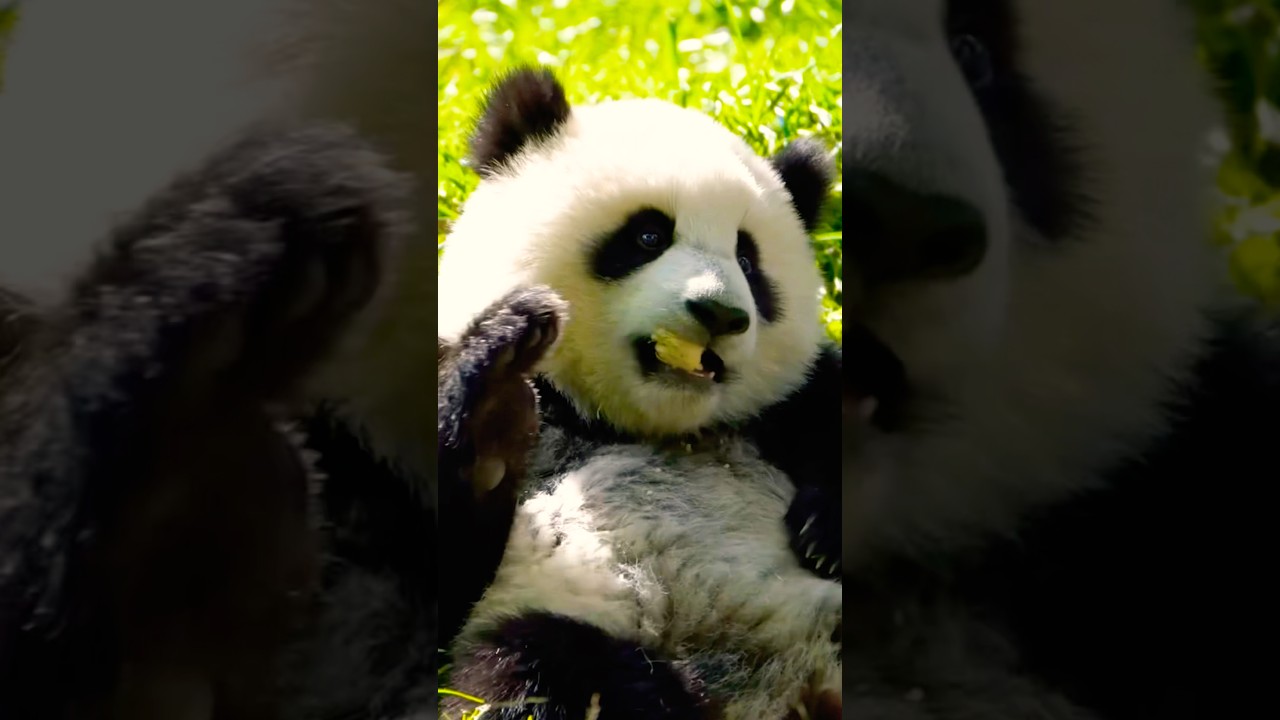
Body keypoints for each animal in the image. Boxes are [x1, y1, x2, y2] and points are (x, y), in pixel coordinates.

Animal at [436, 68, 844, 719]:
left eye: (747, 258)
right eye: (649, 234)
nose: (720, 315)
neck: (634, 424)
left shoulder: (791, 402)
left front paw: (824, 531)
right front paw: (494, 411)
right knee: (540, 663)